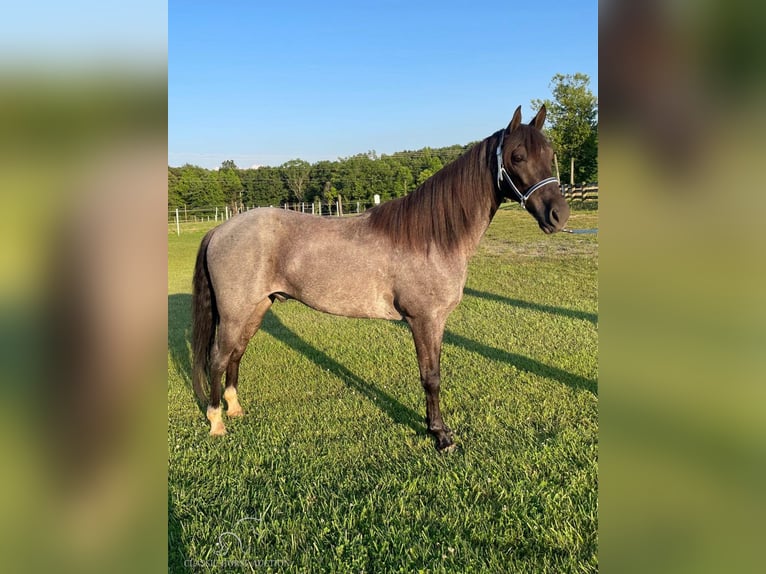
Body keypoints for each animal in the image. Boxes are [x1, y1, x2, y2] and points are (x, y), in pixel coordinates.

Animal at [192, 106, 568, 452]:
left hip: (256, 309)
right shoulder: (425, 320)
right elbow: (431, 377)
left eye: (549, 154)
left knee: (236, 354)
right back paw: (216, 422)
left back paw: (235, 409)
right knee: (218, 358)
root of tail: (220, 230)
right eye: (517, 156)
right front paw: (441, 435)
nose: (558, 215)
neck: (432, 237)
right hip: (235, 313)